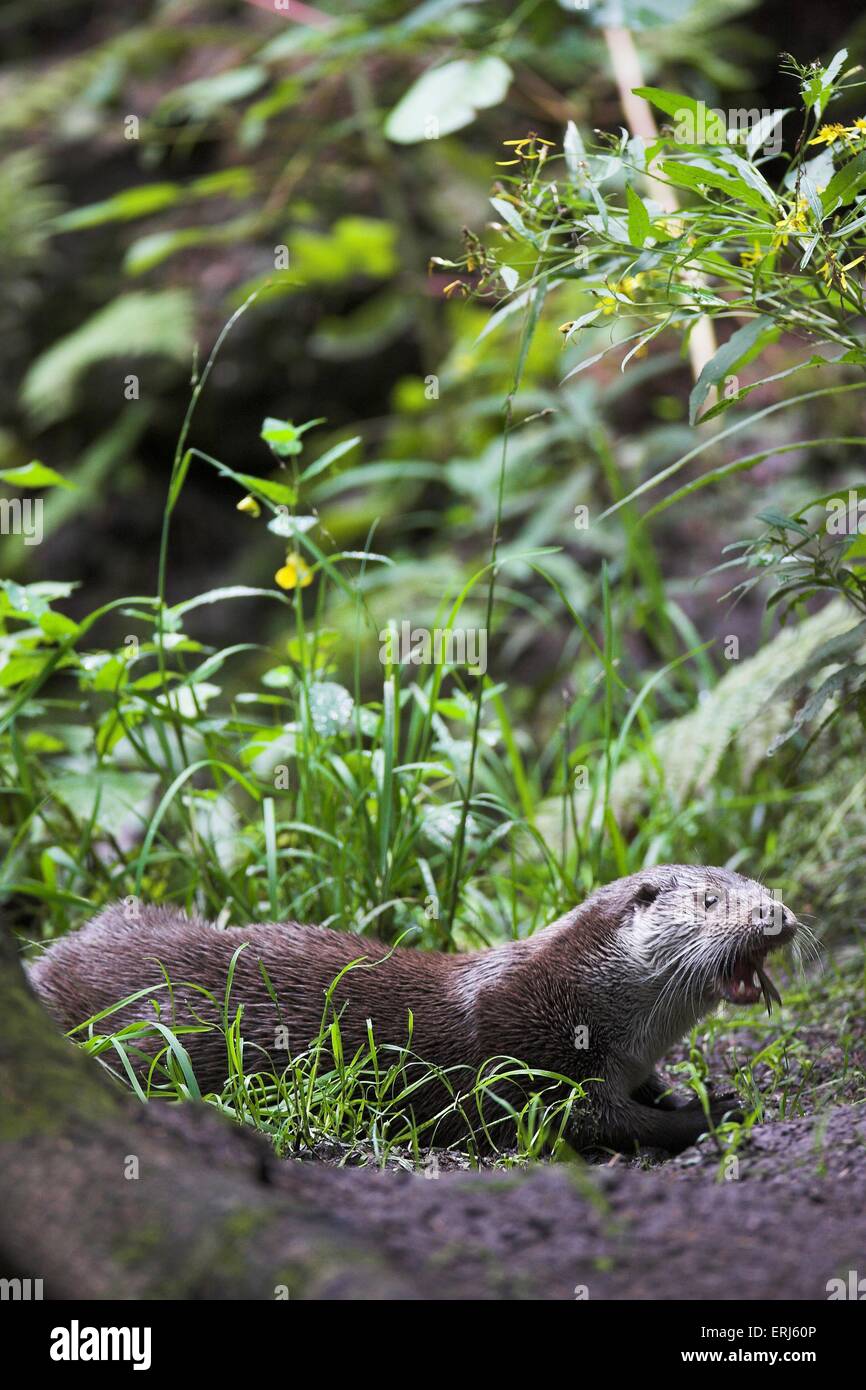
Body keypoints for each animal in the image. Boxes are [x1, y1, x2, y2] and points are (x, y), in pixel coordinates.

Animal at [27, 867, 800, 1150]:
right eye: (711, 899)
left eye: (762, 884)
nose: (778, 915)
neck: (585, 997)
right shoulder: (534, 1061)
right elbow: (604, 1123)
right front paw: (715, 1112)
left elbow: (648, 1093)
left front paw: (694, 1094)